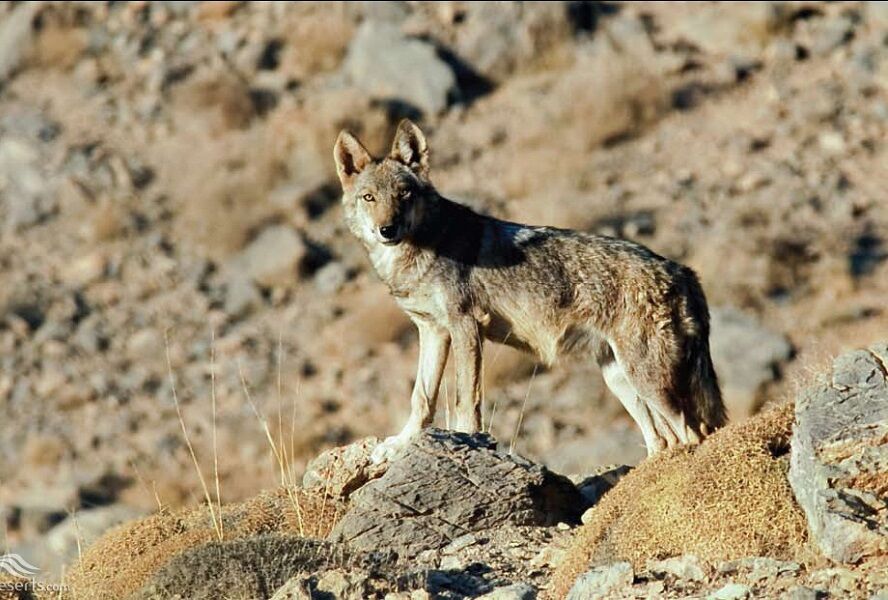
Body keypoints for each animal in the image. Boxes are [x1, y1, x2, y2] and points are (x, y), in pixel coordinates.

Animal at [332, 119, 728, 462]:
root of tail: (683, 271)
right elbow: (421, 397)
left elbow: (466, 400)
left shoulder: (466, 326)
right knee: (663, 439)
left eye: (405, 194)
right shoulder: (432, 331)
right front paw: (401, 444)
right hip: (620, 378)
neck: (423, 248)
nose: (387, 229)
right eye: (369, 197)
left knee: (693, 432)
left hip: (647, 380)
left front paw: (467, 440)